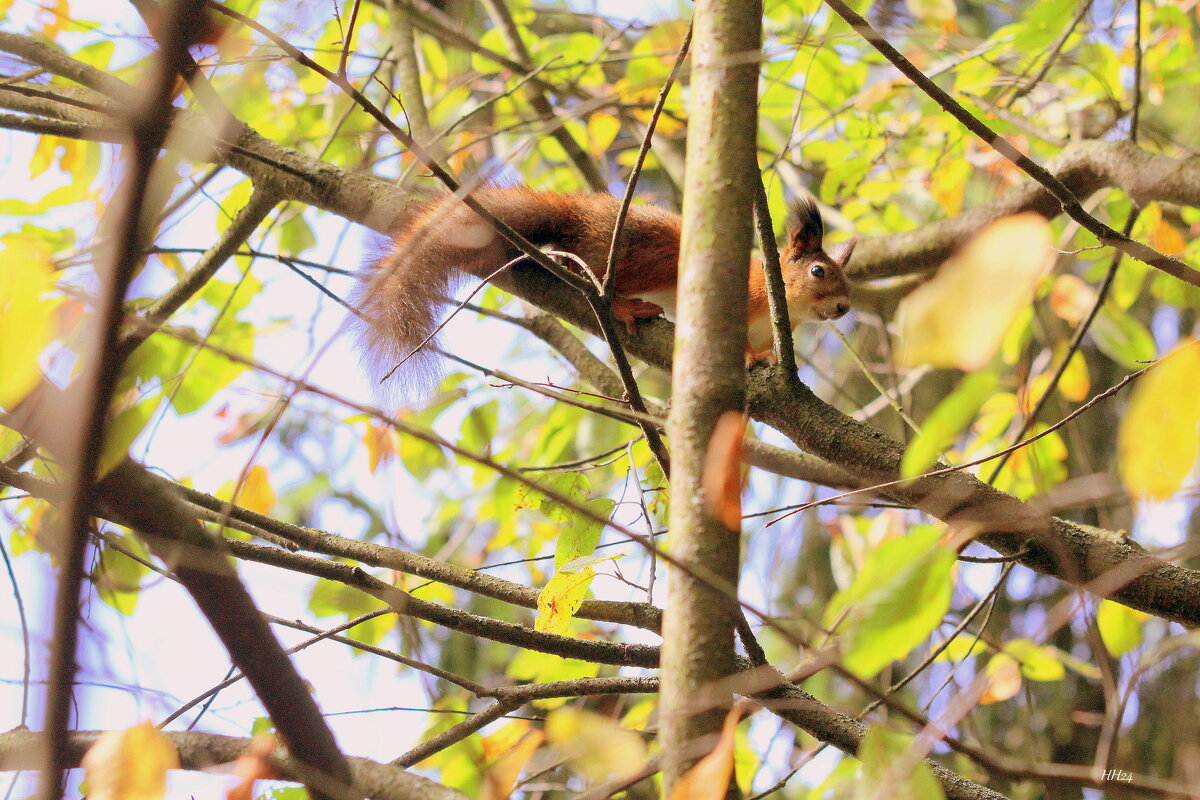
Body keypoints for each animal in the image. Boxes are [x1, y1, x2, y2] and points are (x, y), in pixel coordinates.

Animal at [350, 189, 859, 386]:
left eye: (846, 276)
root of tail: (578, 216)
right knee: (600, 283)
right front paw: (751, 356)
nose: (844, 308)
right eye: (819, 272)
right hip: (638, 260)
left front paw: (764, 354)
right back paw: (624, 307)